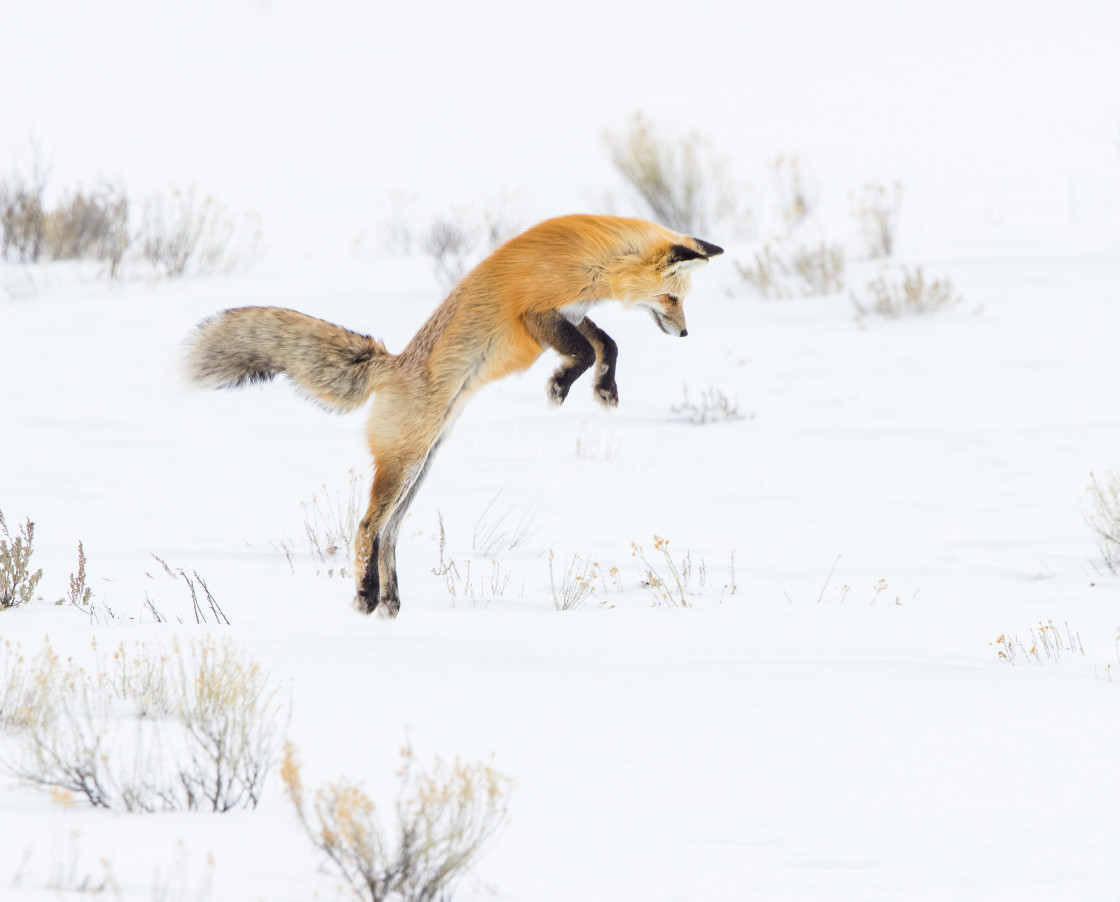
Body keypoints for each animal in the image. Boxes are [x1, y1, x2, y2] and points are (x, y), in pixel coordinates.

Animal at [187, 215, 721, 614]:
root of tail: (391, 362)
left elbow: (605, 343)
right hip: (404, 463)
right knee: (365, 528)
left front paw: (604, 389)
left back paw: (390, 602)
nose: (685, 334)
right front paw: (560, 385)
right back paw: (364, 596)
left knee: (388, 534)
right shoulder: (536, 312)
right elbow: (587, 350)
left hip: (421, 466)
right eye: (672, 299)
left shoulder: (570, 311)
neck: (593, 257)